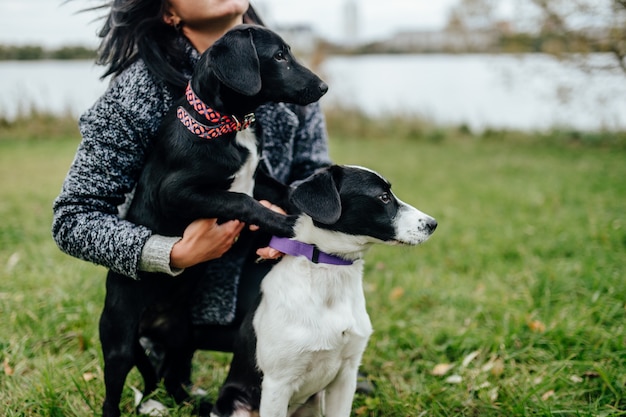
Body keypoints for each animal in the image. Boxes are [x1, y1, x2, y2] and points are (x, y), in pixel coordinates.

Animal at [98, 23, 326, 416]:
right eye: (279, 56)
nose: (324, 87)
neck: (227, 125)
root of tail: (150, 325)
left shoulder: (260, 176)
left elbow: (285, 189)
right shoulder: (176, 192)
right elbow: (240, 200)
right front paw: (283, 224)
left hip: (181, 336)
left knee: (172, 378)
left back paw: (191, 403)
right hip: (120, 344)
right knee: (112, 394)